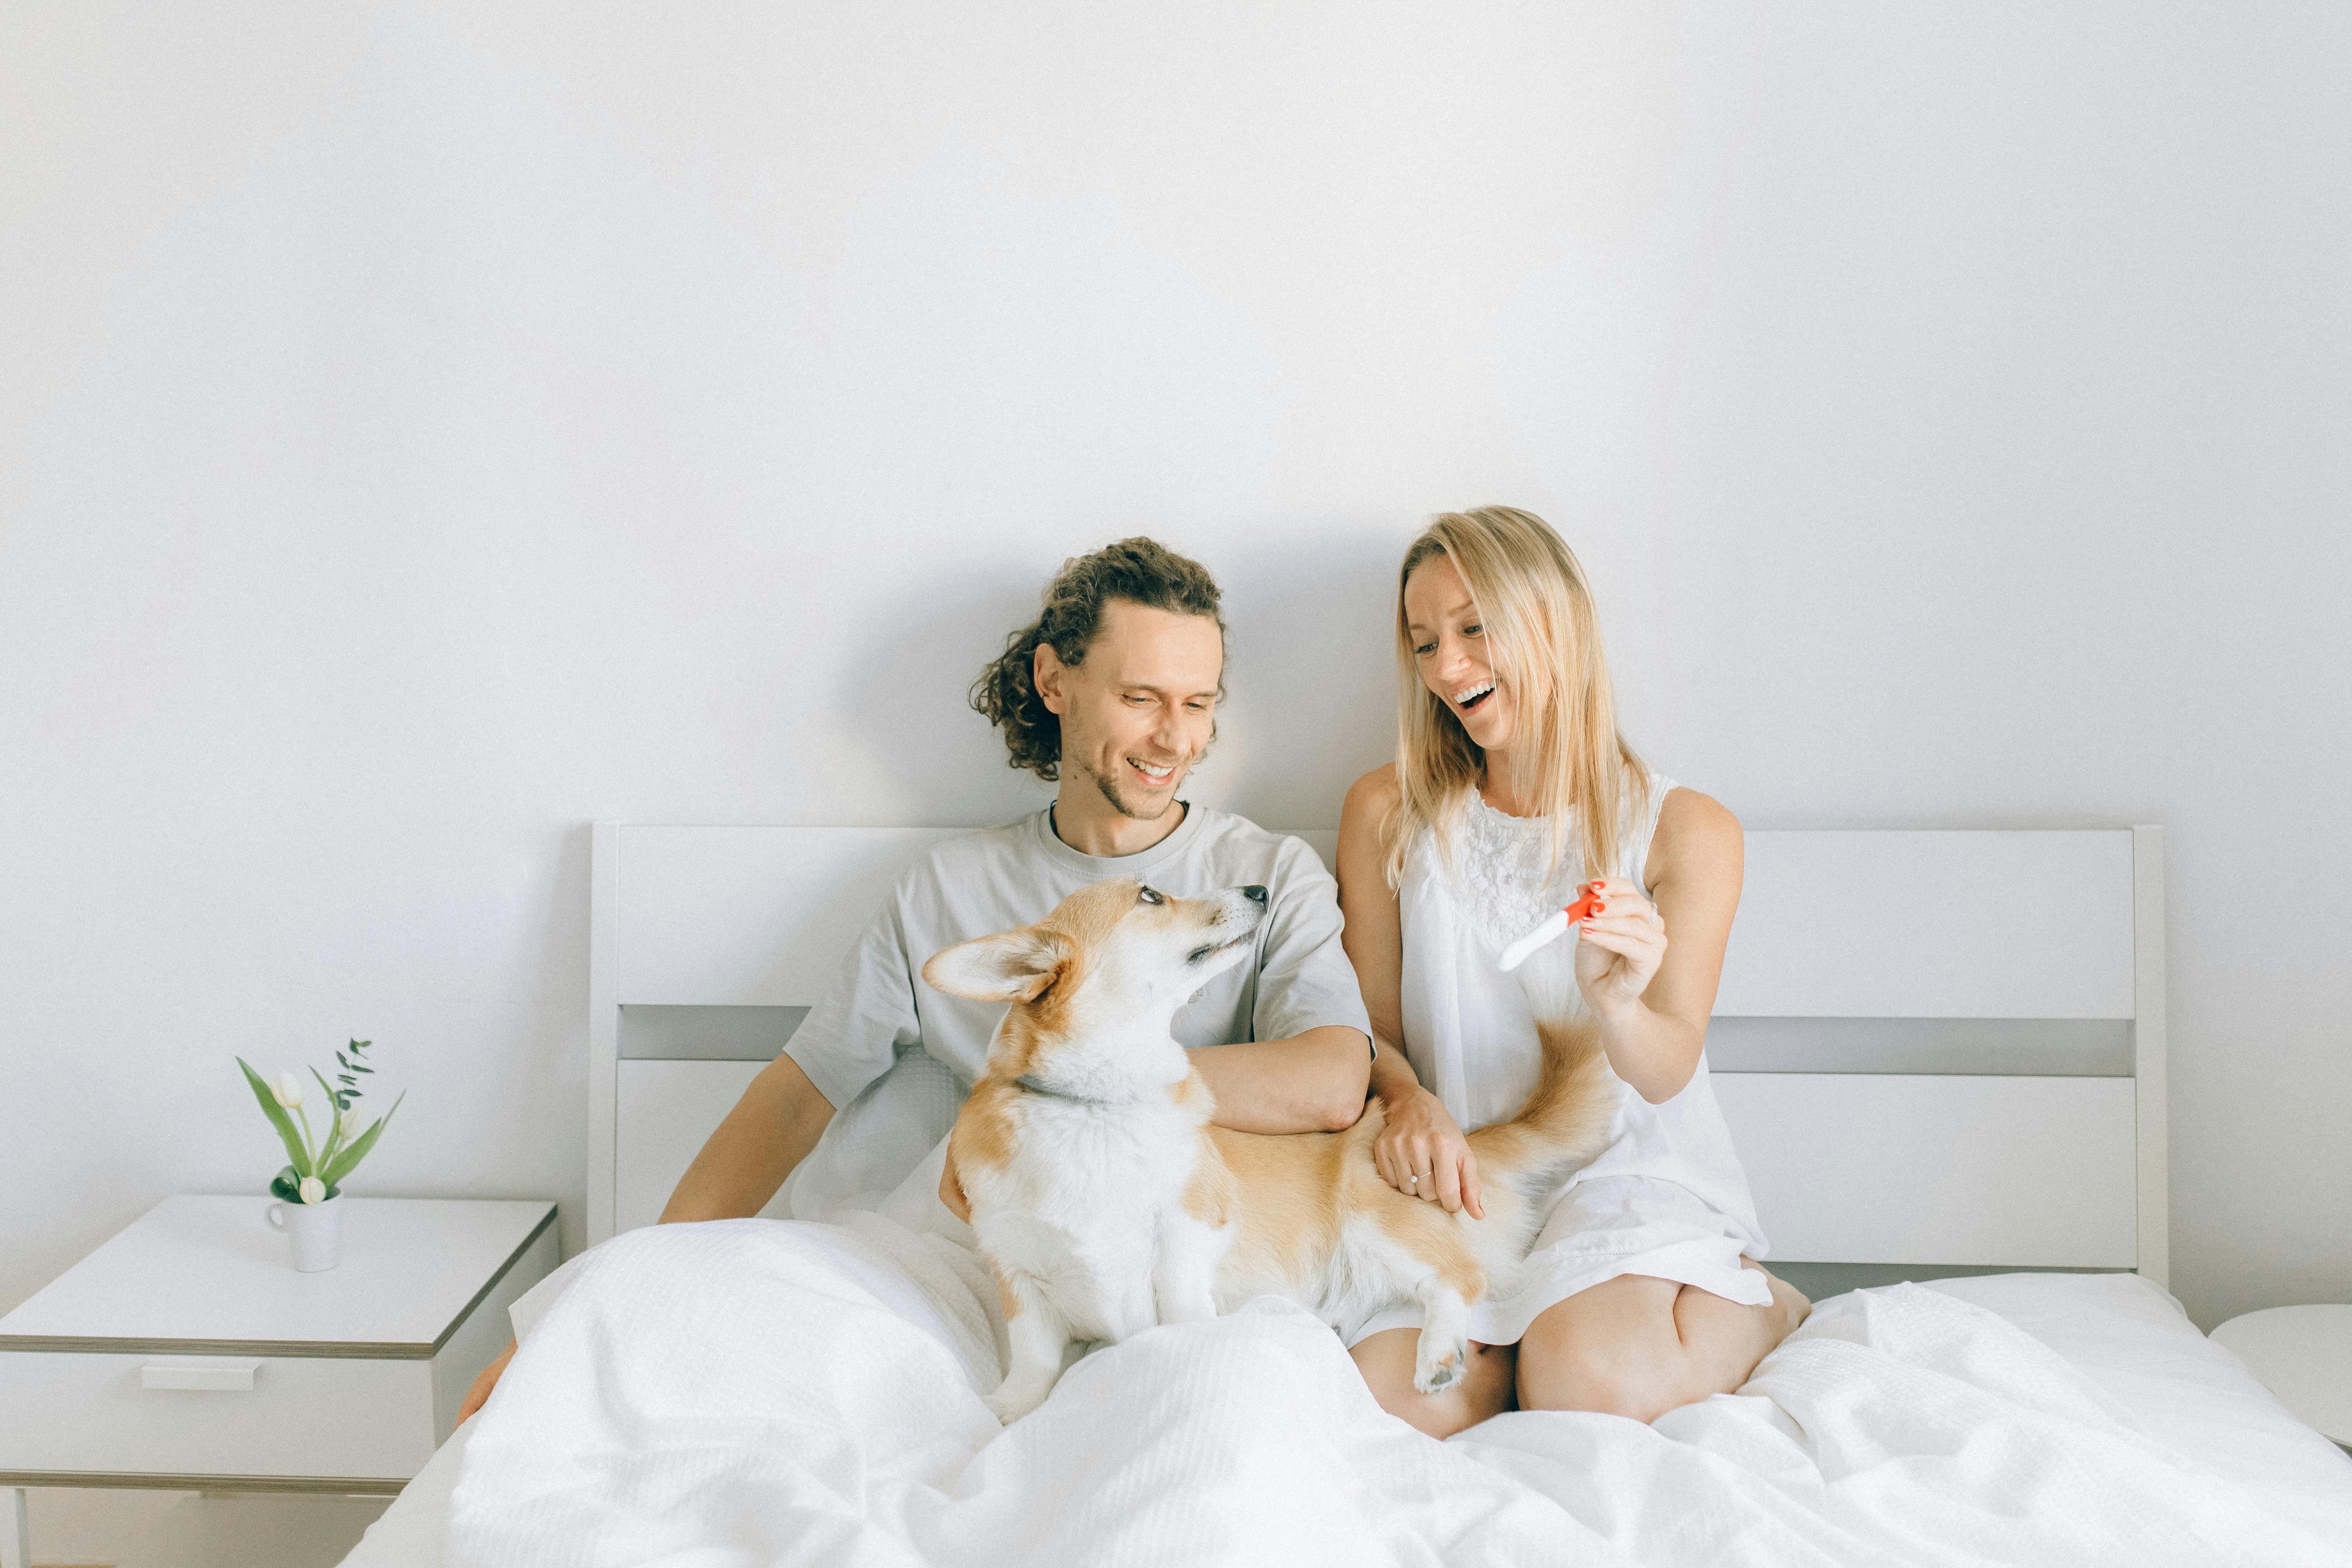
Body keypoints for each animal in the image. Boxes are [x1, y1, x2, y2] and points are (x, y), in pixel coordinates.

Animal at [922, 879, 1618, 1429]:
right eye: (1150, 895)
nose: (1258, 890)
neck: (1093, 1107)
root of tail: (1463, 1141)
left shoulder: (1190, 1229)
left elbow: (1178, 1301)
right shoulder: (1018, 1276)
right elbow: (1033, 1358)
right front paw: (1006, 1412)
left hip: (1374, 1220)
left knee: (1460, 1277)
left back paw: (1440, 1352)